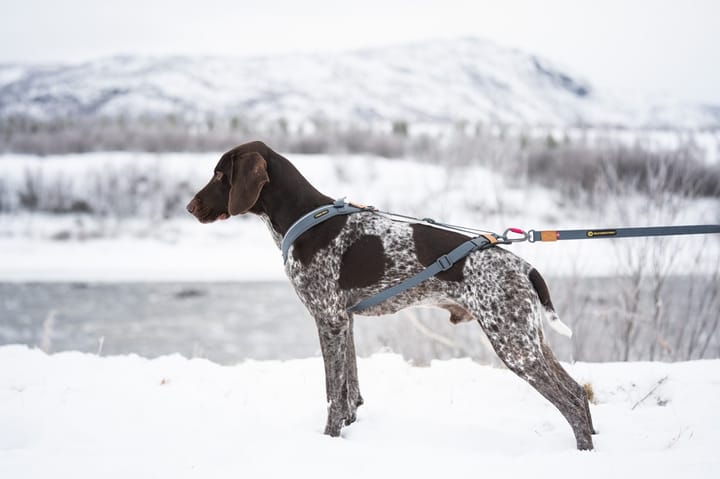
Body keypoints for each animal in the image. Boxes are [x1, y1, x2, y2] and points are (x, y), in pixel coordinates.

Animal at [187, 141, 596, 452]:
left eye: (220, 175)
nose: (190, 207)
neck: (304, 218)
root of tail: (524, 266)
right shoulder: (344, 321)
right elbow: (350, 389)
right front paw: (348, 429)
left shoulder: (328, 320)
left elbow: (333, 393)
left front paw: (329, 441)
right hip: (529, 339)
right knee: (578, 392)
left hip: (513, 344)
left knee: (571, 403)